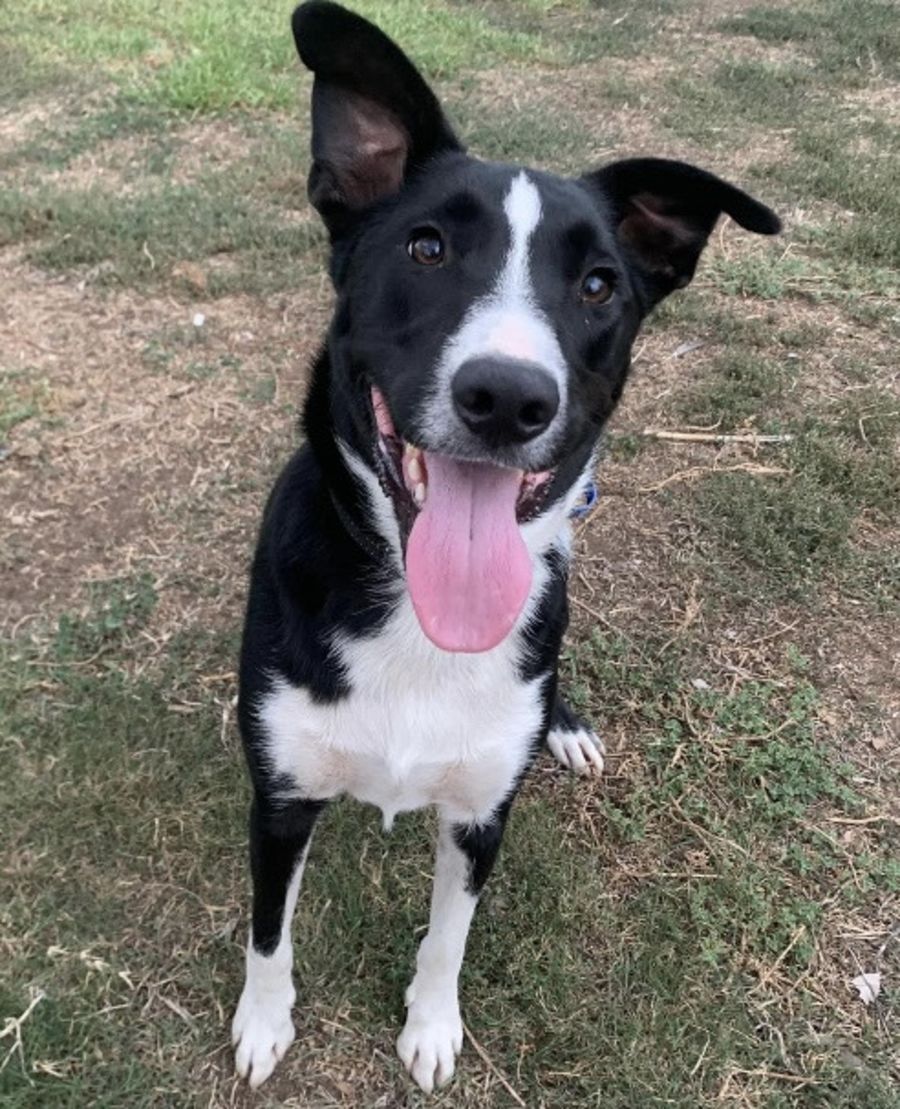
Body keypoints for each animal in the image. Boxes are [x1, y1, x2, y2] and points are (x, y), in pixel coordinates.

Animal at [231, 0, 780, 1091]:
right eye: (426, 248)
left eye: (601, 284)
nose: (509, 397)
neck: (413, 617)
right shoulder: (280, 798)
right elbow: (270, 932)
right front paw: (264, 1024)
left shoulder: (483, 812)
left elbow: (448, 935)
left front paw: (432, 1026)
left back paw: (564, 726)